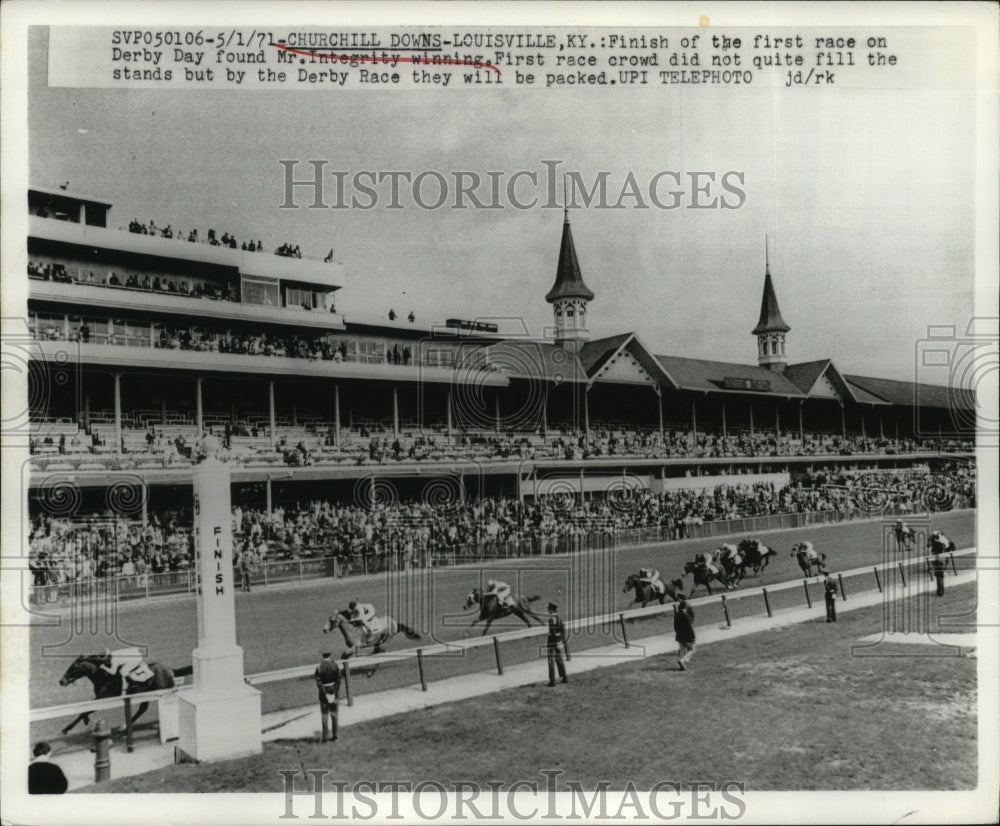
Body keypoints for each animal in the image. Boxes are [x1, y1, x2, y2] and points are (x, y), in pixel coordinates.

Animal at [58, 652, 191, 732]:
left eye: (73, 667)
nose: (61, 681)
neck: (104, 677)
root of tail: (171, 670)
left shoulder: (104, 699)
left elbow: (85, 710)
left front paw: (66, 729)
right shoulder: (99, 698)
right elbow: (85, 709)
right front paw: (82, 722)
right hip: (146, 694)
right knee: (142, 709)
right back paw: (124, 726)